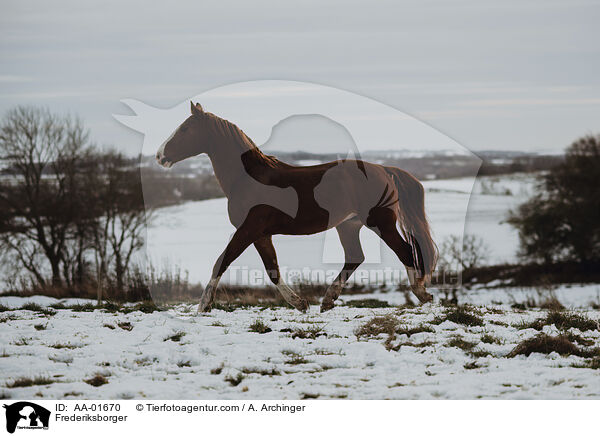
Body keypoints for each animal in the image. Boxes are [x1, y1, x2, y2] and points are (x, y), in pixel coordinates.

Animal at [155, 101, 436, 314]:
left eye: (185, 128)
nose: (159, 156)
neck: (248, 178)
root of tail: (385, 171)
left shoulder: (248, 229)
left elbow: (221, 261)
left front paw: (203, 305)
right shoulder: (261, 234)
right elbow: (273, 270)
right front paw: (300, 303)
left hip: (380, 223)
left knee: (405, 252)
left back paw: (423, 295)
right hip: (348, 225)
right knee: (355, 257)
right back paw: (327, 300)